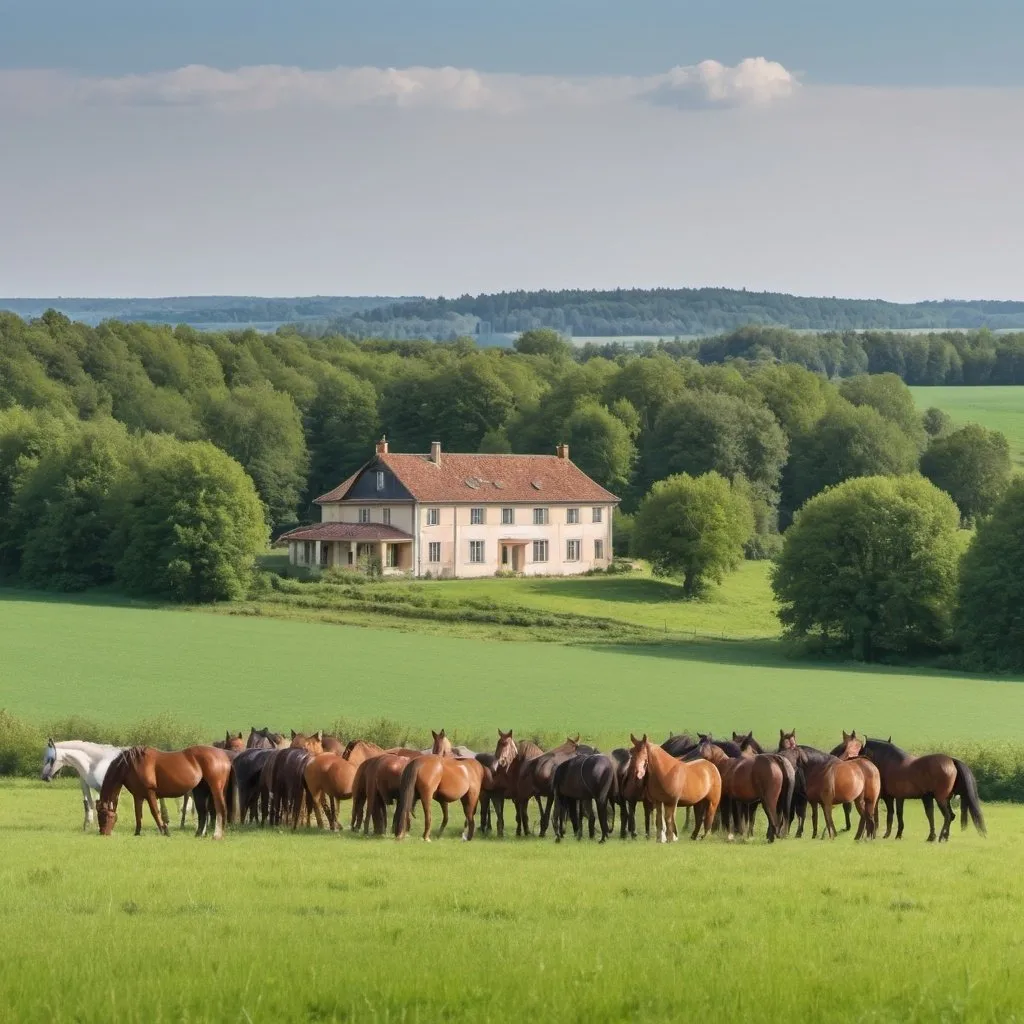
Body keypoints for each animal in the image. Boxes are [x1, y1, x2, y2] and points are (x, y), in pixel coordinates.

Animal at [96, 745, 232, 839]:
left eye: (105, 815)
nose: (103, 833)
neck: (131, 765)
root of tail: (224, 758)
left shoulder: (150, 792)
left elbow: (155, 812)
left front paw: (165, 831)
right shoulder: (138, 796)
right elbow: (138, 814)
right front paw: (137, 833)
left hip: (216, 789)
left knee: (220, 809)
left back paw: (217, 835)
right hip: (200, 791)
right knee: (203, 812)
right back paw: (198, 835)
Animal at [839, 737, 983, 839]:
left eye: (860, 751)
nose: (852, 761)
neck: (890, 763)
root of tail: (951, 760)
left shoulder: (894, 797)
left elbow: (896, 814)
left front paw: (894, 834)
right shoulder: (895, 797)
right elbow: (895, 814)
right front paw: (893, 834)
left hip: (940, 798)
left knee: (947, 816)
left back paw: (940, 837)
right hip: (945, 799)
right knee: (951, 816)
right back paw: (941, 837)